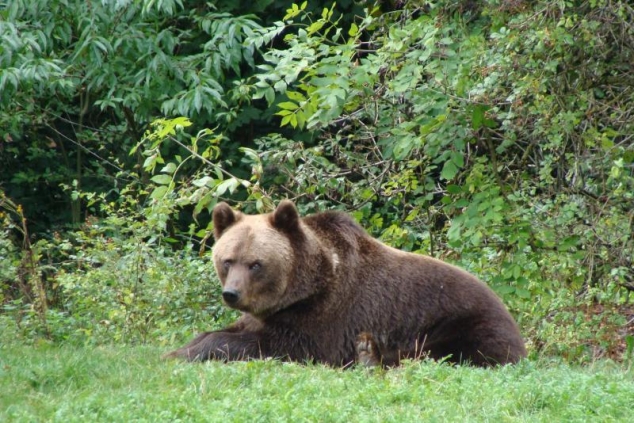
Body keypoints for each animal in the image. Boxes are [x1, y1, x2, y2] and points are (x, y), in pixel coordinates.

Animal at [163, 200, 524, 366]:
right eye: (227, 260)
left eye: (256, 264)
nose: (232, 294)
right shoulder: (269, 313)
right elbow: (231, 330)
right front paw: (180, 348)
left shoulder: (328, 316)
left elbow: (280, 344)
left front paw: (189, 352)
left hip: (461, 321)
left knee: (433, 353)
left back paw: (370, 355)